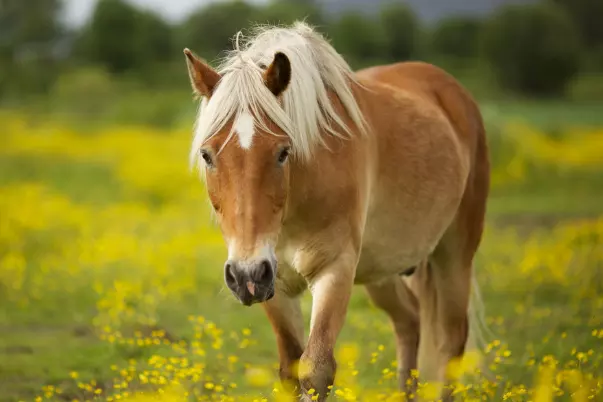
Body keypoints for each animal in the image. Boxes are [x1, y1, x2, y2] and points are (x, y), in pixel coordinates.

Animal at [184, 22, 490, 402]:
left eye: (283, 152)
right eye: (207, 155)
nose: (246, 275)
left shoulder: (335, 269)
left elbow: (316, 369)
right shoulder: (275, 284)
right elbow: (290, 368)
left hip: (454, 255)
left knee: (451, 344)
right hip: (383, 270)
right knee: (409, 321)